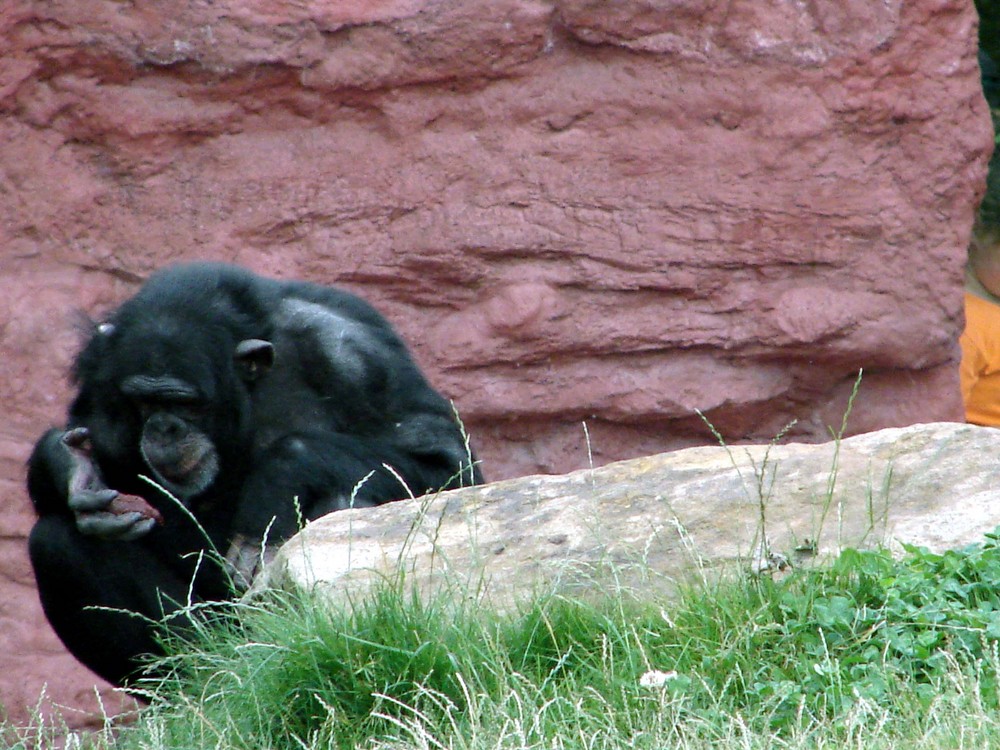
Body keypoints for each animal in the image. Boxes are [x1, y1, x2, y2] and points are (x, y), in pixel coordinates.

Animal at [27, 262, 480, 692]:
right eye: (144, 401)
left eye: (185, 402)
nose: (163, 429)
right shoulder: (102, 370)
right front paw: (74, 467)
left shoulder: (356, 358)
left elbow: (445, 464)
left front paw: (278, 480)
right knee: (57, 543)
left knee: (345, 501)